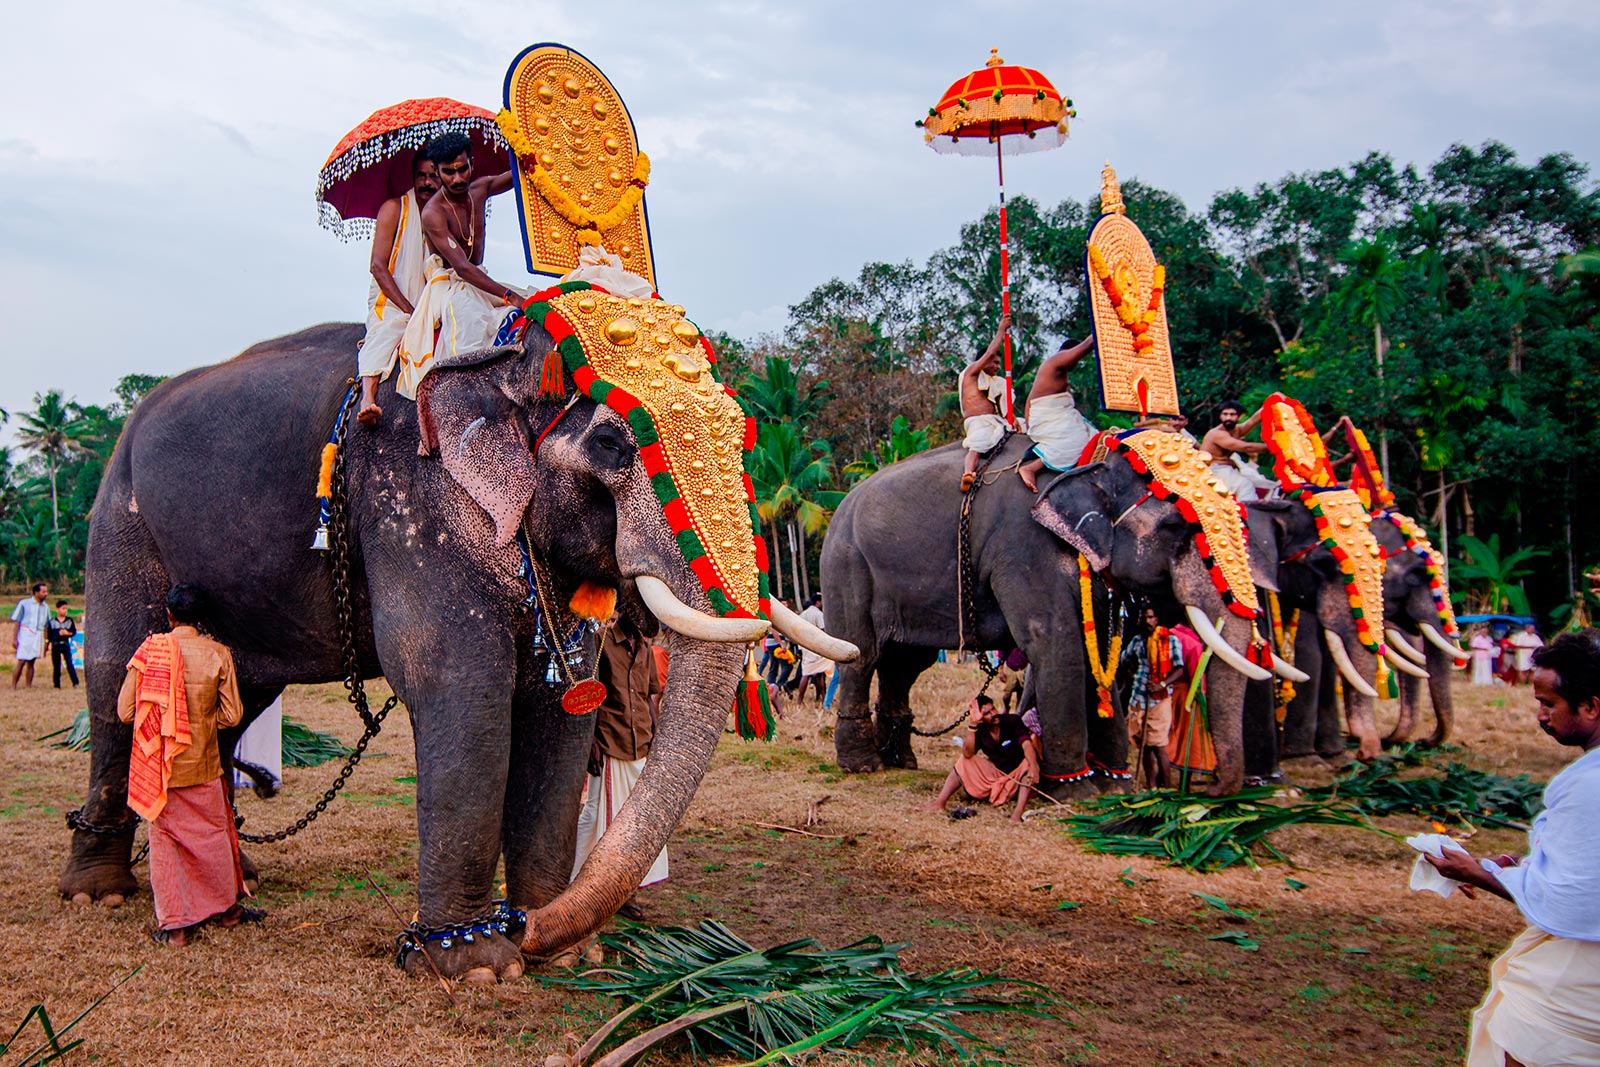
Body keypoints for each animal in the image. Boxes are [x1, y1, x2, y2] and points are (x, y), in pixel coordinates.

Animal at [58, 287, 857, 979]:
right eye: (610, 443)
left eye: (743, 436)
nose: (520, 926)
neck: (498, 353)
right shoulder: (411, 503)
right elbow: (462, 683)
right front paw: (474, 964)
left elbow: (561, 703)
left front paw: (567, 950)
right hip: (118, 520)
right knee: (116, 677)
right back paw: (100, 892)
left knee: (241, 696)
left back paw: (241, 878)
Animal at [819, 435, 1280, 799]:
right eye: (1174, 527)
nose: (1213, 791)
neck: (1090, 461)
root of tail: (842, 504)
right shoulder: (1026, 549)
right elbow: (1056, 643)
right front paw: (1075, 790)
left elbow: (1098, 658)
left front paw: (1114, 787)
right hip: (847, 564)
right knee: (863, 655)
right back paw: (863, 765)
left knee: (906, 663)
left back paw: (901, 761)